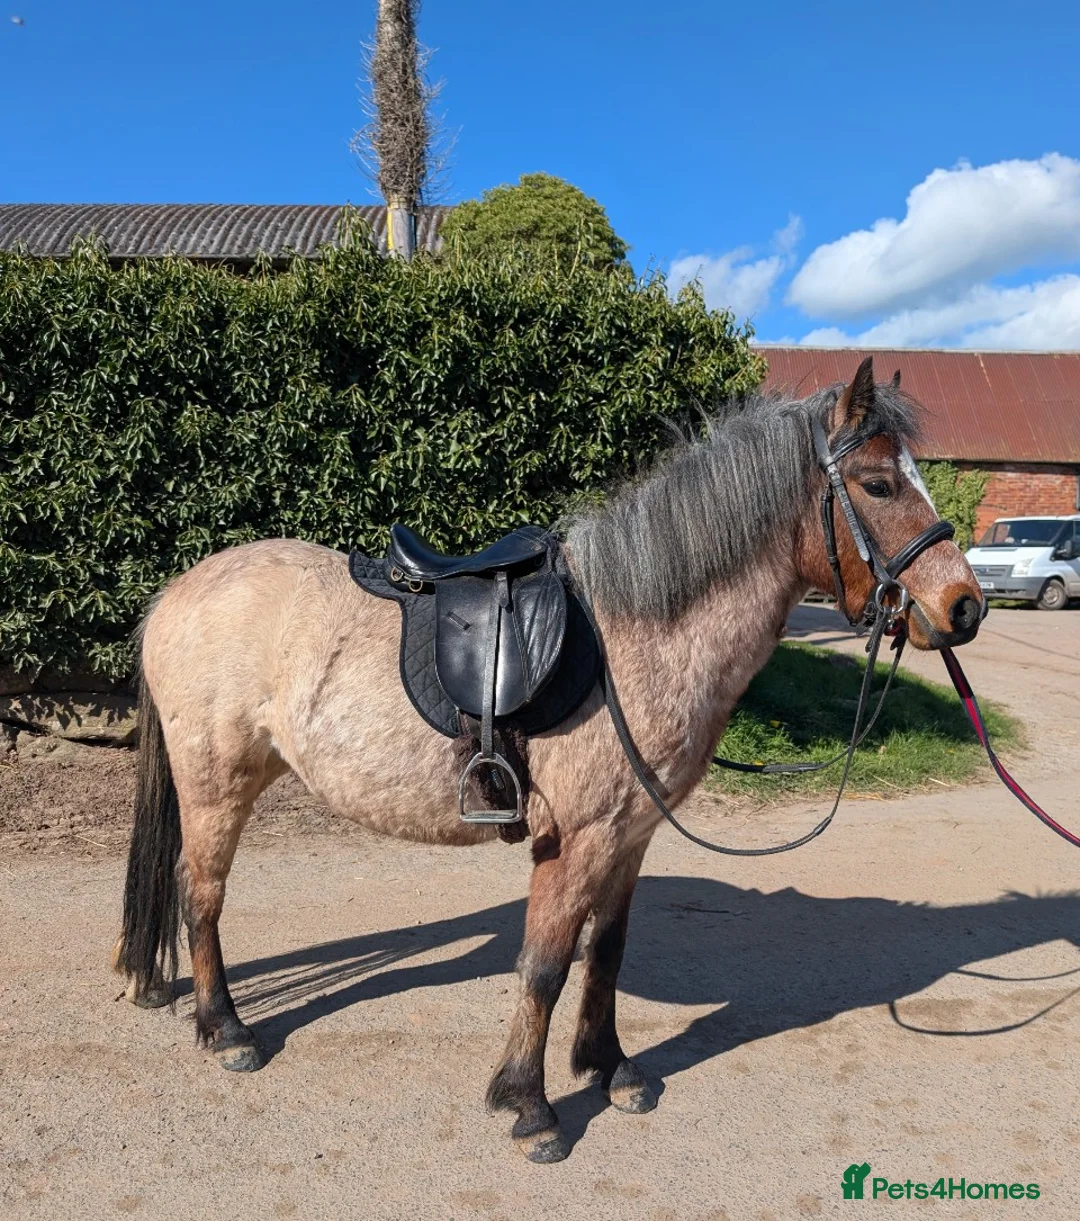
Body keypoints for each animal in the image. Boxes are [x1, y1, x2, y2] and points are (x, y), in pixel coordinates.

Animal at [115, 356, 985, 1162]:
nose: (964, 607)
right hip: (217, 785)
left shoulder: (630, 836)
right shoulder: (577, 838)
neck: (638, 634)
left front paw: (609, 1067)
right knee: (201, 894)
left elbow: (605, 951)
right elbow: (544, 964)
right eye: (877, 483)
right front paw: (529, 1106)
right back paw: (226, 1029)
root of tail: (175, 594)